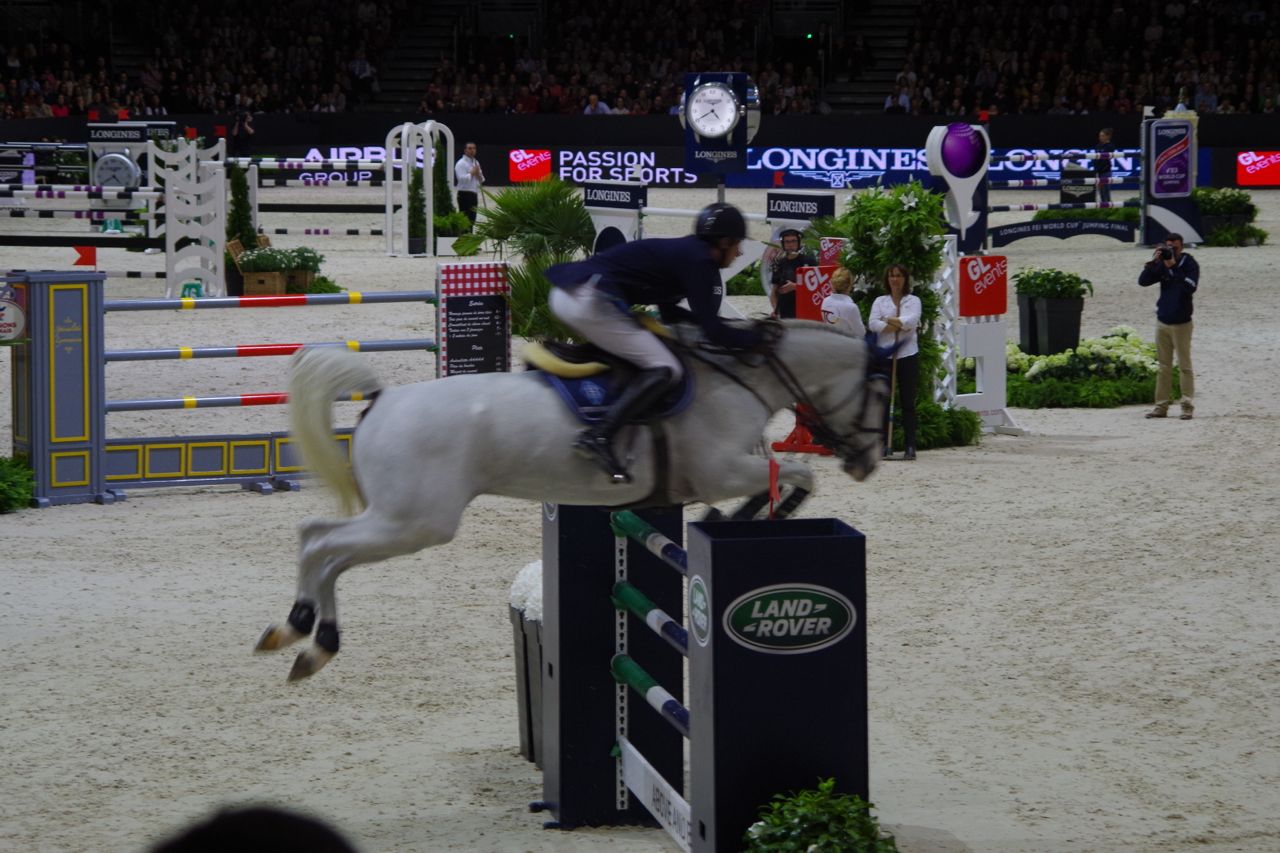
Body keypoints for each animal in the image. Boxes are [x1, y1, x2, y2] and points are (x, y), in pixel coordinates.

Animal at [255, 320, 887, 681]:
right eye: (881, 392)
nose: (868, 462)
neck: (737, 379)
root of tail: (383, 398)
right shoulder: (722, 469)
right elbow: (798, 476)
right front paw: (738, 516)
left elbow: (789, 478)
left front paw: (737, 517)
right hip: (413, 523)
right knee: (323, 546)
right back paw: (309, 635)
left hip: (399, 519)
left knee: (317, 541)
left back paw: (302, 632)